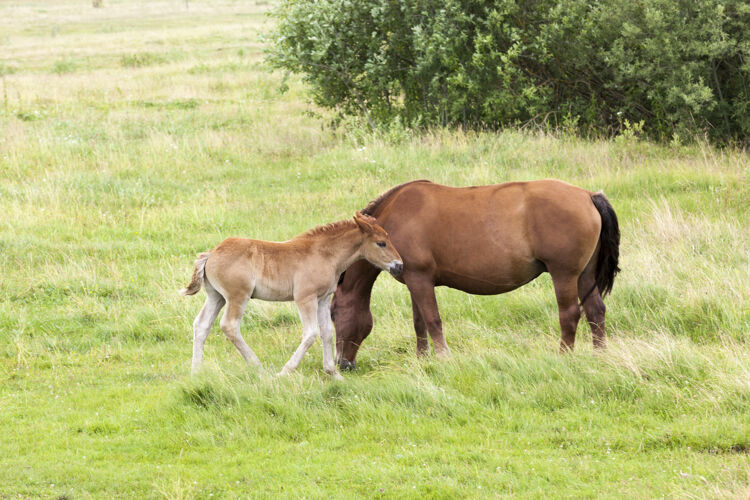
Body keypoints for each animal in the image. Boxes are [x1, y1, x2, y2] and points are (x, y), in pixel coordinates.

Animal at [181, 211, 406, 378]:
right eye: (381, 243)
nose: (399, 266)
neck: (324, 254)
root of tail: (212, 253)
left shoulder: (323, 299)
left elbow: (327, 332)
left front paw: (333, 374)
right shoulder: (305, 298)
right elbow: (311, 333)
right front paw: (285, 371)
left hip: (216, 296)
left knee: (201, 325)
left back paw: (196, 371)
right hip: (237, 296)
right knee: (229, 326)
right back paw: (258, 367)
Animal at [334, 178, 624, 370]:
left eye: (333, 313)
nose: (341, 364)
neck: (392, 223)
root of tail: (588, 195)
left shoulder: (419, 278)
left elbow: (432, 320)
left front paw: (443, 358)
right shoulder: (415, 281)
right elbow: (420, 323)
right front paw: (422, 359)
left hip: (564, 275)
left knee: (570, 315)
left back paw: (563, 356)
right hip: (584, 275)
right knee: (596, 311)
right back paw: (600, 356)